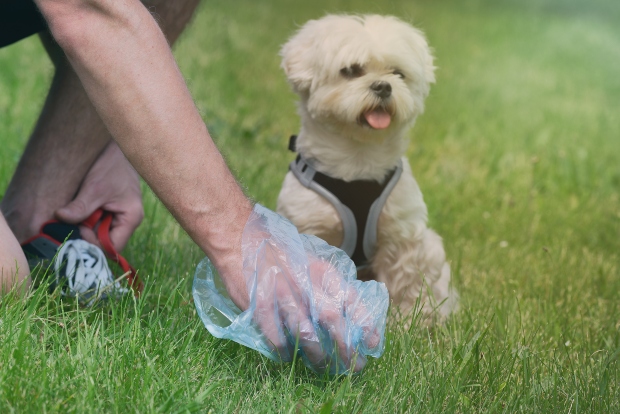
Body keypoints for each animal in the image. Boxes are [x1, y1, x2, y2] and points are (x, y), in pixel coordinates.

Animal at [276, 14, 456, 320]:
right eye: (350, 70)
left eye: (398, 73)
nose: (383, 86)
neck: (358, 160)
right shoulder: (311, 231)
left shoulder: (400, 234)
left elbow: (405, 280)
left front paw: (408, 320)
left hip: (430, 246)